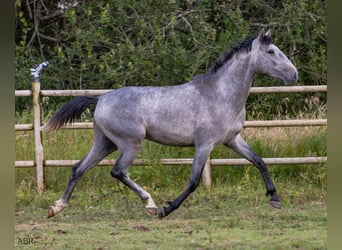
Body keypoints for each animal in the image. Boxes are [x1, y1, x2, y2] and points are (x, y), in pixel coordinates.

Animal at [44, 29, 296, 219]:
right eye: (271, 51)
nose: (294, 75)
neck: (221, 94)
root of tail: (101, 99)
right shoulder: (204, 145)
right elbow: (193, 181)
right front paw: (167, 209)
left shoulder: (232, 140)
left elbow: (259, 161)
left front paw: (275, 199)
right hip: (130, 143)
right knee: (118, 171)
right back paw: (150, 204)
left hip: (105, 143)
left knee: (78, 168)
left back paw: (56, 207)